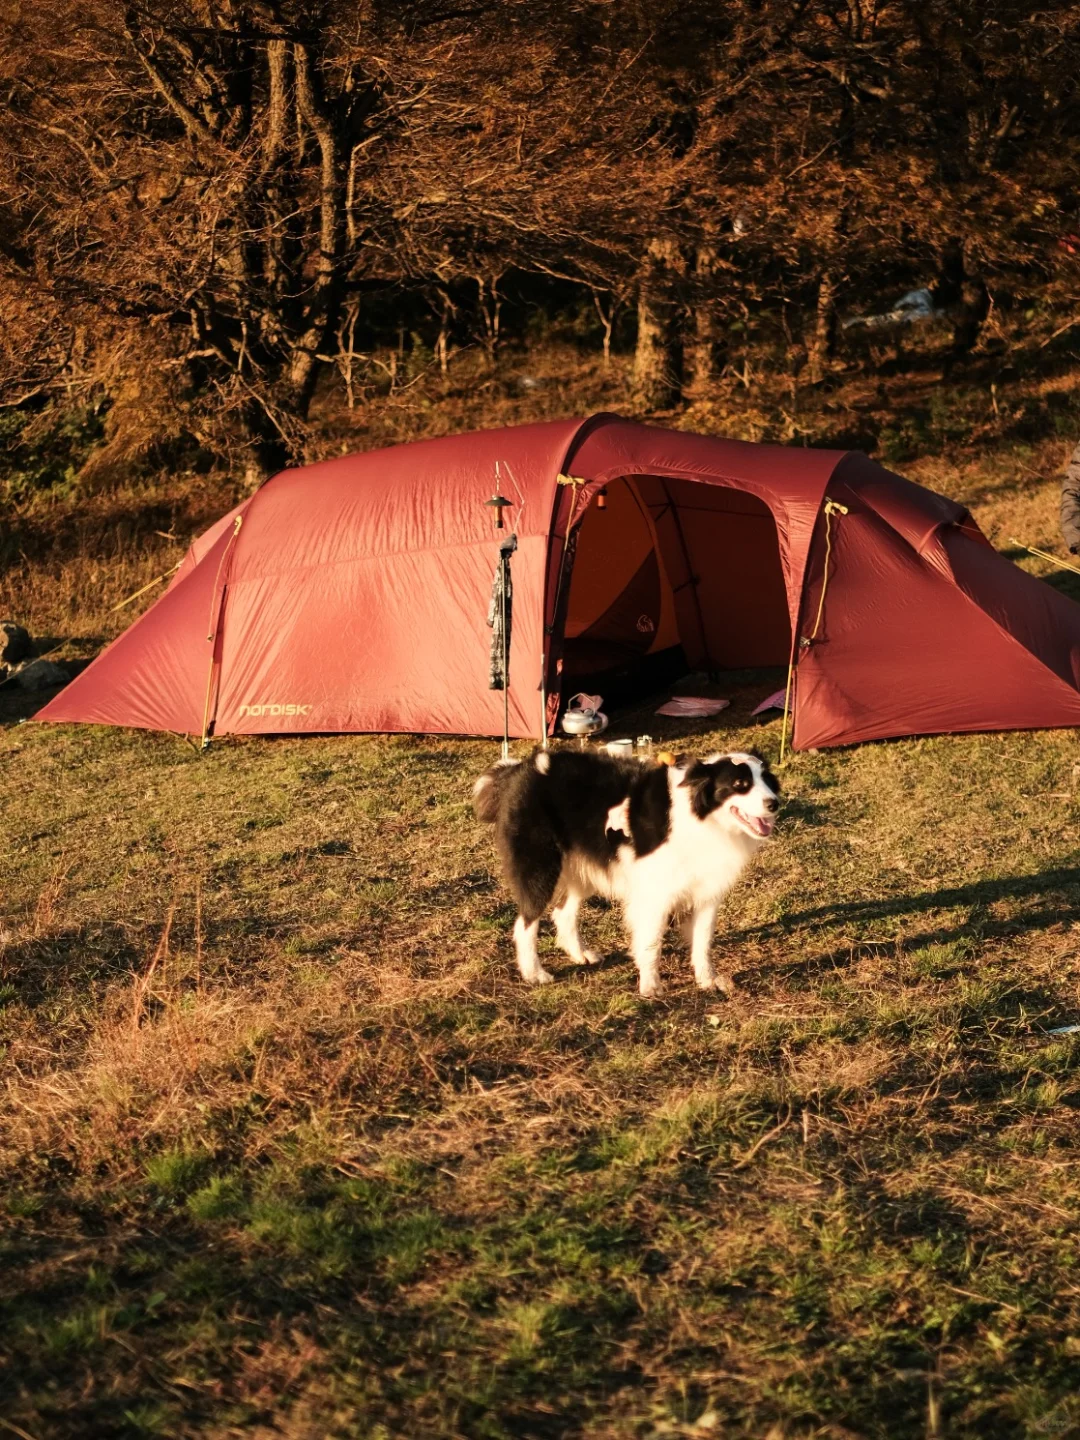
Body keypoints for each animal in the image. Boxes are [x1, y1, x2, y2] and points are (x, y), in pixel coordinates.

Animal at [472, 748, 777, 996]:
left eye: (767, 781)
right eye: (740, 785)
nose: (774, 803)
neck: (700, 814)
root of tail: (519, 769)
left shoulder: (706, 893)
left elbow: (703, 941)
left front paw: (707, 980)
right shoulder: (655, 893)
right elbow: (651, 941)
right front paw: (650, 986)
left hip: (580, 867)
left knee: (563, 912)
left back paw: (580, 954)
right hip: (540, 870)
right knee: (525, 923)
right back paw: (534, 973)